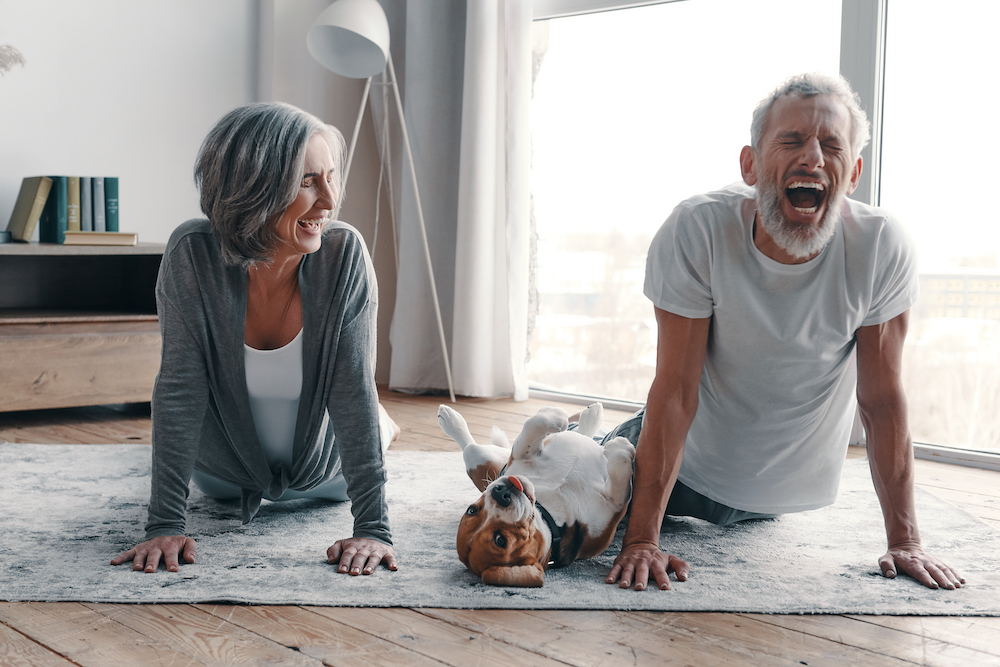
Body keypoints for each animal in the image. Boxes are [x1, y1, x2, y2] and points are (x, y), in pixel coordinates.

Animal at [438, 404, 632, 588]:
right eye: (500, 540)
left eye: (471, 510)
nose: (500, 493)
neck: (553, 509)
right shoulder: (614, 510)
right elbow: (620, 479)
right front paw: (620, 448)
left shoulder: (519, 457)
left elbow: (534, 425)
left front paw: (554, 414)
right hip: (476, 456)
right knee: (468, 445)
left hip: (485, 457)